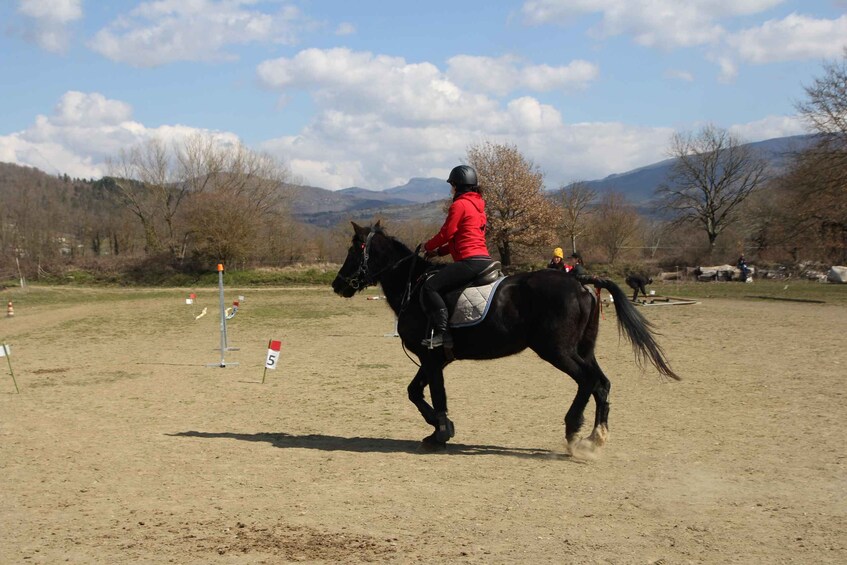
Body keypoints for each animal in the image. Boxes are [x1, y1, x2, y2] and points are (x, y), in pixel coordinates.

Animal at [328, 223, 680, 452]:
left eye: (354, 249)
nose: (338, 284)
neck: (413, 284)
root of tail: (580, 282)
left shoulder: (431, 357)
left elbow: (435, 394)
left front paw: (441, 432)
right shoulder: (436, 359)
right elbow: (415, 392)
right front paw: (438, 428)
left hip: (557, 350)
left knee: (587, 381)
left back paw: (573, 429)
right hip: (582, 349)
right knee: (601, 383)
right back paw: (596, 436)